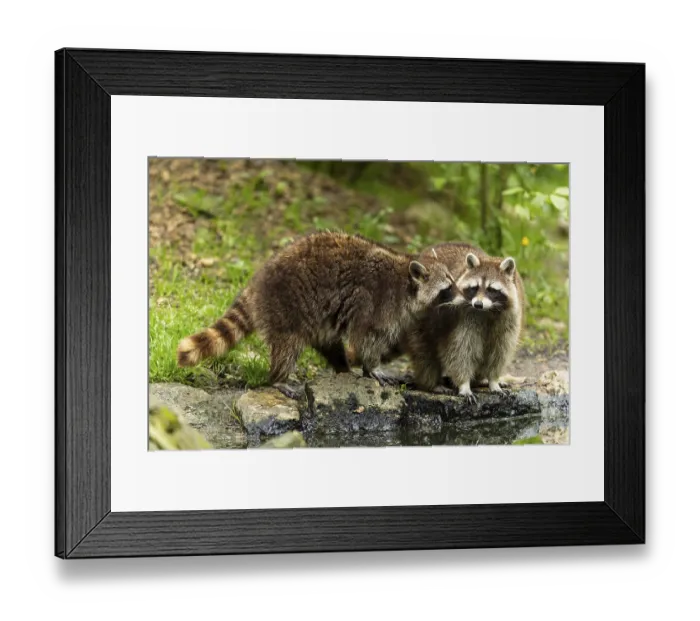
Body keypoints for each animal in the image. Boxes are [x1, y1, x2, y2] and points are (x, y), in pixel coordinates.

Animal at [177, 232, 463, 398]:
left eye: (453, 282)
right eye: (447, 289)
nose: (466, 299)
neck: (406, 281)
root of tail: (257, 283)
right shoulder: (377, 304)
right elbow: (366, 338)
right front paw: (372, 367)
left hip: (315, 318)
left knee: (329, 343)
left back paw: (342, 367)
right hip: (286, 306)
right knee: (288, 345)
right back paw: (278, 378)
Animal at [405, 243, 525, 402]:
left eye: (491, 289)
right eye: (474, 288)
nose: (478, 304)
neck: (488, 311)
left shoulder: (508, 320)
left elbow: (499, 351)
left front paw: (493, 380)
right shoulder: (462, 318)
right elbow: (461, 350)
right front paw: (464, 384)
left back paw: (481, 379)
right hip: (421, 320)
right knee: (425, 352)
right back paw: (431, 384)